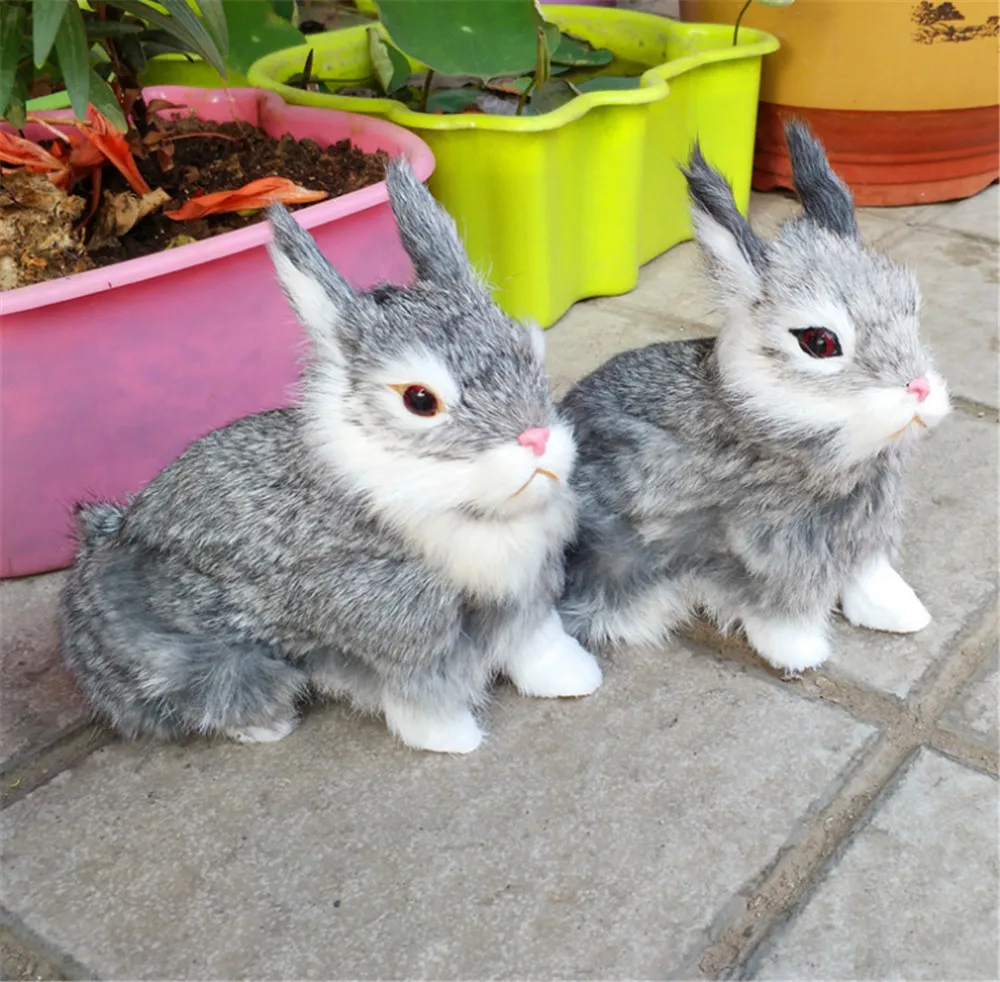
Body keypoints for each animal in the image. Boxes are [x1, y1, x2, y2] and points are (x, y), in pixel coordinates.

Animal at [59, 158, 602, 754]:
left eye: (529, 352)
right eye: (419, 400)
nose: (536, 439)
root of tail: (98, 546)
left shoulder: (528, 604)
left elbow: (537, 646)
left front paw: (576, 680)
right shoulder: (404, 633)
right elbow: (422, 696)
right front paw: (453, 740)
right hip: (209, 658)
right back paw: (267, 726)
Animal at [557, 121, 951, 676]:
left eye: (911, 307)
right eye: (820, 342)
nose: (918, 388)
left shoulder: (862, 540)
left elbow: (869, 577)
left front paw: (903, 616)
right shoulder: (770, 554)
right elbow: (783, 610)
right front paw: (802, 654)